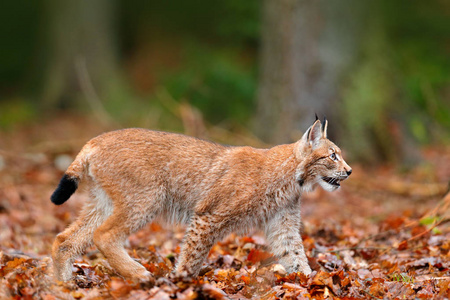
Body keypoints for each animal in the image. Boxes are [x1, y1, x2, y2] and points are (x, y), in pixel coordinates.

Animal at [50, 118, 352, 282]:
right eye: (332, 156)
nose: (349, 171)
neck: (293, 178)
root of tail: (96, 140)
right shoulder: (209, 214)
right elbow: (193, 254)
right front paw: (180, 281)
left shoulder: (283, 223)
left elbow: (295, 254)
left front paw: (310, 281)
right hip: (147, 198)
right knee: (103, 235)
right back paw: (137, 273)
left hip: (106, 201)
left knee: (65, 239)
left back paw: (63, 284)